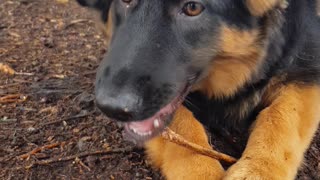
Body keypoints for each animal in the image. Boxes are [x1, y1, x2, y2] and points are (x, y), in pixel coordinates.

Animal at [77, 0, 320, 179]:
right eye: (125, 0)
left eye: (193, 7)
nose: (111, 108)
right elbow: (184, 125)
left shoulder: (307, 74)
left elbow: (282, 118)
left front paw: (258, 170)